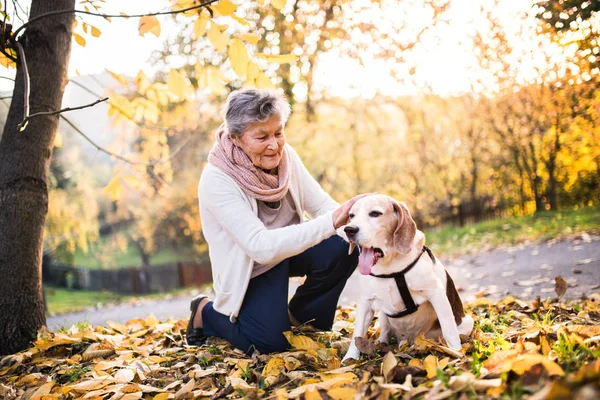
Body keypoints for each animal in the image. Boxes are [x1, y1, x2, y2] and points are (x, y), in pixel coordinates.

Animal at [338, 195, 474, 362]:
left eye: (375, 213)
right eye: (351, 216)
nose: (349, 229)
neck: (390, 268)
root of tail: (409, 341)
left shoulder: (436, 293)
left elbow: (449, 330)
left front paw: (456, 353)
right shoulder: (365, 302)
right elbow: (357, 335)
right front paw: (349, 359)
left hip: (467, 322)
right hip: (383, 315)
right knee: (385, 333)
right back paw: (380, 343)